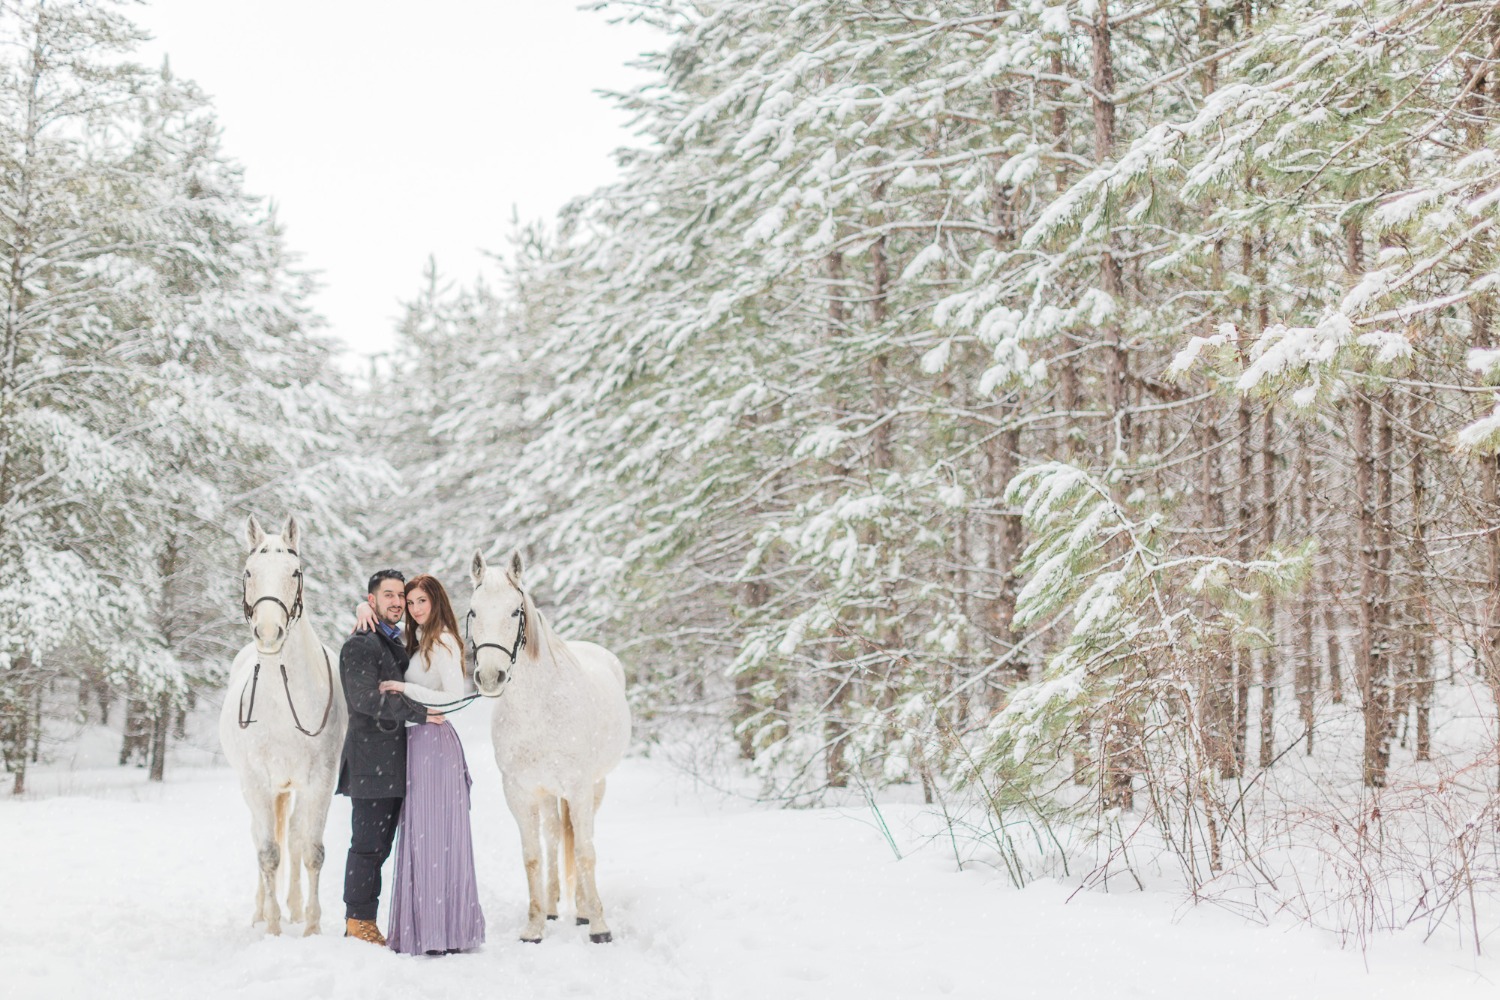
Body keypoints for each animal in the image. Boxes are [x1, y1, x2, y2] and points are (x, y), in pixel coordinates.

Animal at [219, 515, 346, 941]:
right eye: (248, 572)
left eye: (294, 571)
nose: (269, 633)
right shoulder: (258, 783)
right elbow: (268, 853)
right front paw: (272, 928)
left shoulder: (319, 781)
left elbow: (311, 850)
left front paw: (311, 926)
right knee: (264, 838)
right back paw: (262, 911)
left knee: (291, 837)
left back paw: (293, 907)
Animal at [471, 551, 630, 941]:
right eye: (473, 611)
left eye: (515, 611)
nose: (490, 677)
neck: (539, 709)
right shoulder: (519, 791)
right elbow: (532, 855)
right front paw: (534, 925)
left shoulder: (580, 787)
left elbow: (586, 851)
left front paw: (599, 926)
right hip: (546, 793)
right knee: (555, 836)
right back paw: (554, 907)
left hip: (595, 785)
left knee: (581, 838)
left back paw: (584, 910)